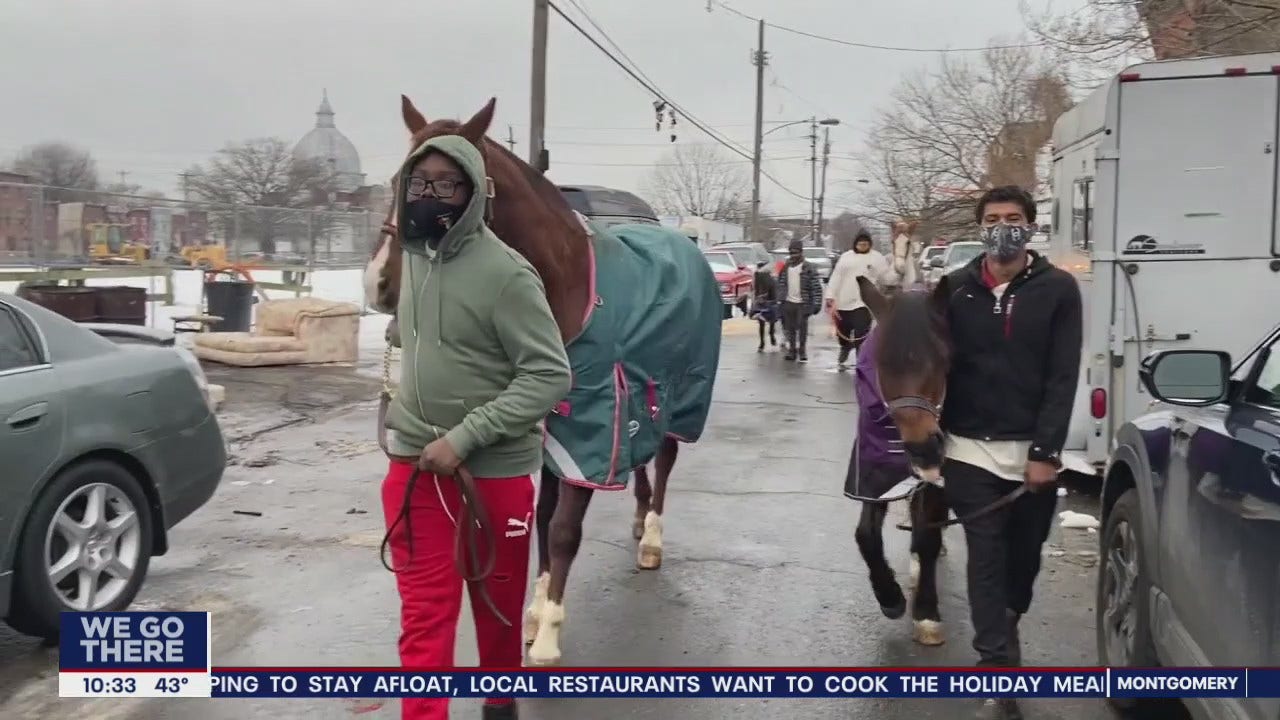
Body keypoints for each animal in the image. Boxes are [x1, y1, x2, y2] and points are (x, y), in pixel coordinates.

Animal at [849, 274, 952, 645]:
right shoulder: (873, 473)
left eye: (944, 358)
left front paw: (926, 612)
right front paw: (889, 597)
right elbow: (865, 534)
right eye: (882, 362)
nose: (923, 447)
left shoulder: (937, 477)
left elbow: (928, 537)